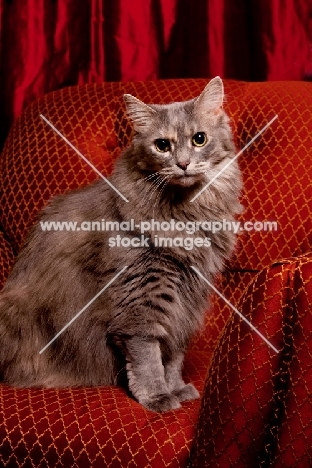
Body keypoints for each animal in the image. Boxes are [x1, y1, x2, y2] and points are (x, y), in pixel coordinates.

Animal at [0, 77, 243, 414]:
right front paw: (157, 397)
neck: (186, 212)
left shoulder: (185, 300)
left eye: (199, 139)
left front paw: (176, 388)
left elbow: (173, 355)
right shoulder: (141, 298)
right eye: (162, 145)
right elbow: (148, 358)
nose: (182, 164)